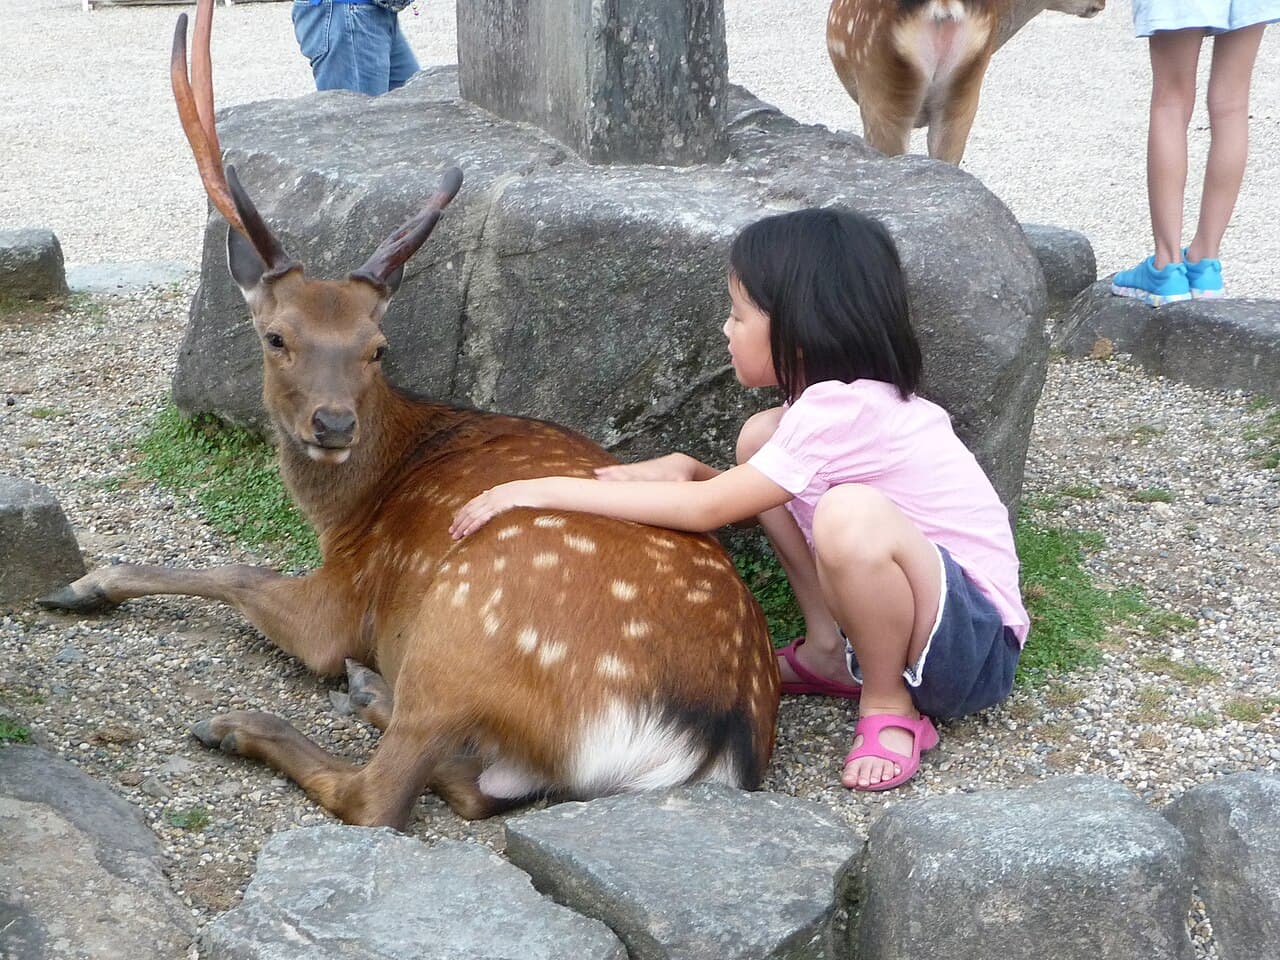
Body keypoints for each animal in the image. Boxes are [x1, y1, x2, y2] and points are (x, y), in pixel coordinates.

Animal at [38, 0, 779, 830]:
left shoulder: (339, 602)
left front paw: (85, 584)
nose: (333, 426)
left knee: (380, 795)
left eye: (377, 348)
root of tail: (703, 742)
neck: (351, 510)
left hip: (459, 631)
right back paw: (367, 692)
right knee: (474, 787)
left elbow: (237, 570)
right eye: (277, 337)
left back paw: (251, 721)